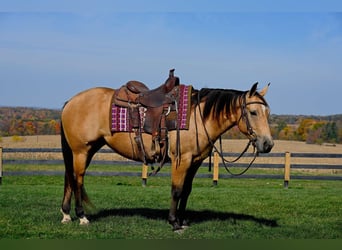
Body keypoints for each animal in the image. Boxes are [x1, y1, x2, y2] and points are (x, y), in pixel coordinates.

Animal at [58, 68, 272, 230]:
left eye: (267, 112)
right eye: (253, 112)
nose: (267, 144)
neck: (198, 116)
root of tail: (70, 101)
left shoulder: (195, 161)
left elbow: (186, 191)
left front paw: (182, 220)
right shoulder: (181, 159)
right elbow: (176, 190)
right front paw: (173, 222)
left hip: (87, 149)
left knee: (70, 177)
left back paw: (66, 214)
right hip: (81, 150)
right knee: (78, 179)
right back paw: (82, 216)